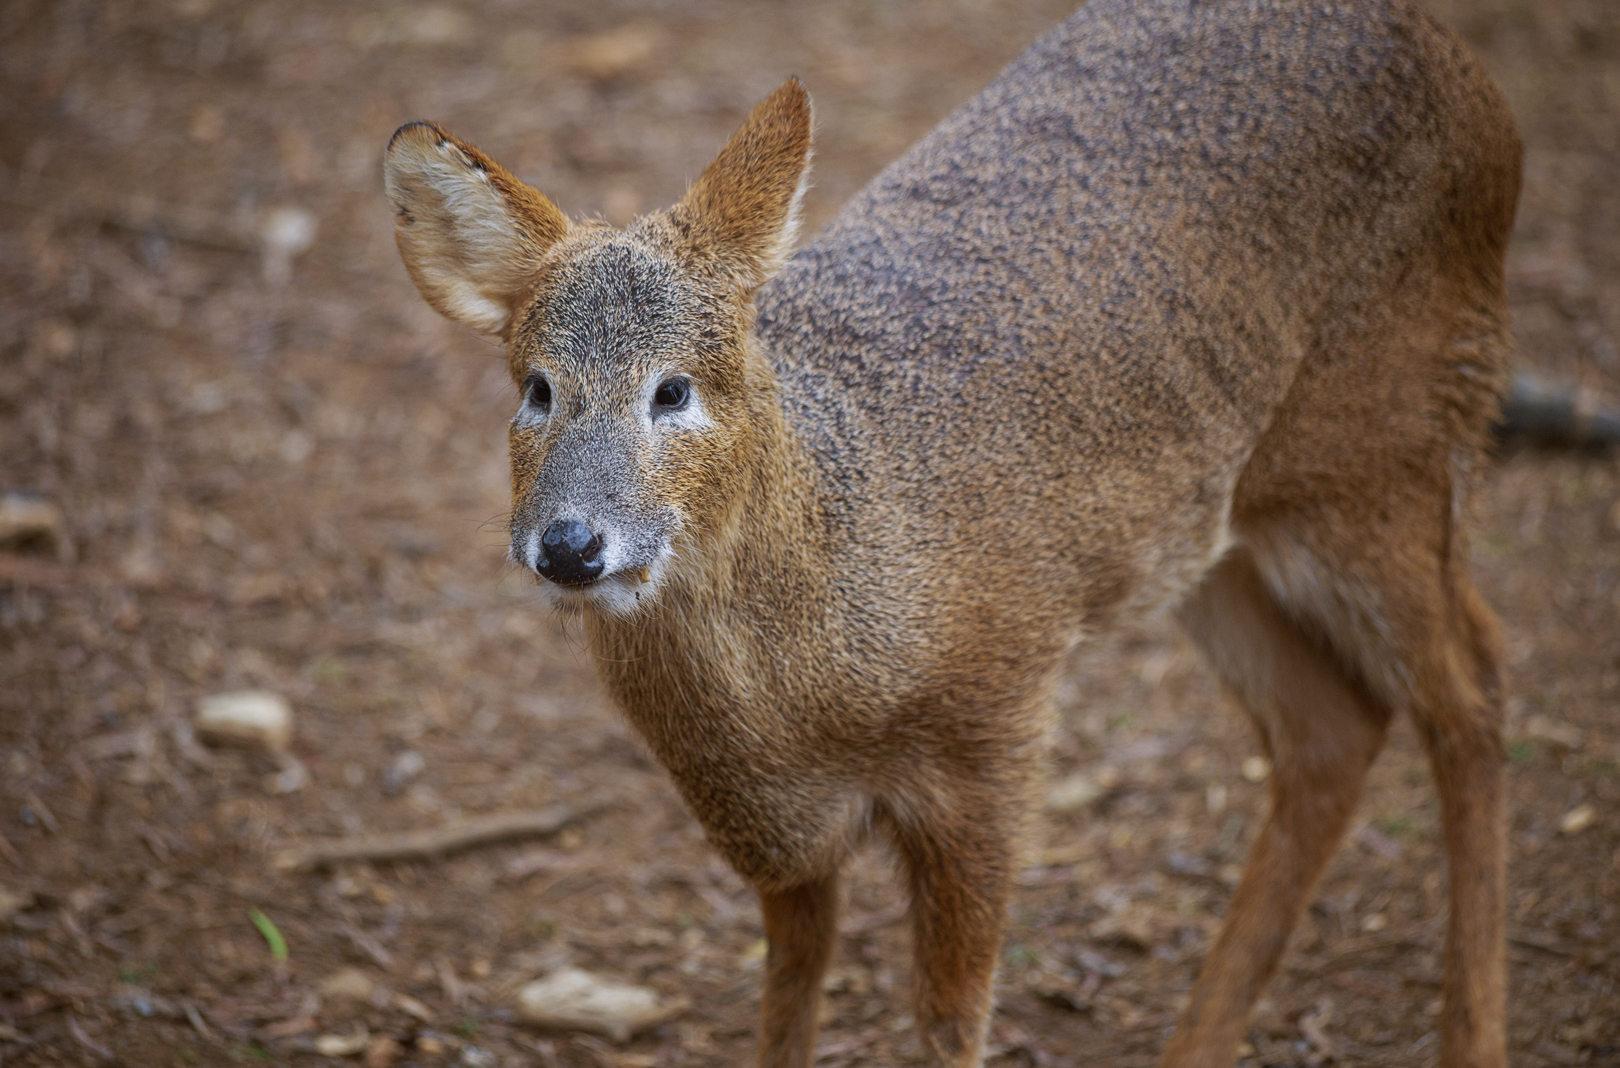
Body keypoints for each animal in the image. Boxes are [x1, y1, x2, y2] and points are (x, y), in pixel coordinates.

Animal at [381, 0, 1521, 1064]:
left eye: (675, 389)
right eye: (535, 387)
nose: (570, 545)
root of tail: (1454, 60)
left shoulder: (997, 726)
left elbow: (950, 1017)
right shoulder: (770, 826)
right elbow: (789, 997)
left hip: (1389, 437)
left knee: (1470, 684)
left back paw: (1474, 1036)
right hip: (1220, 530)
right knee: (1334, 727)